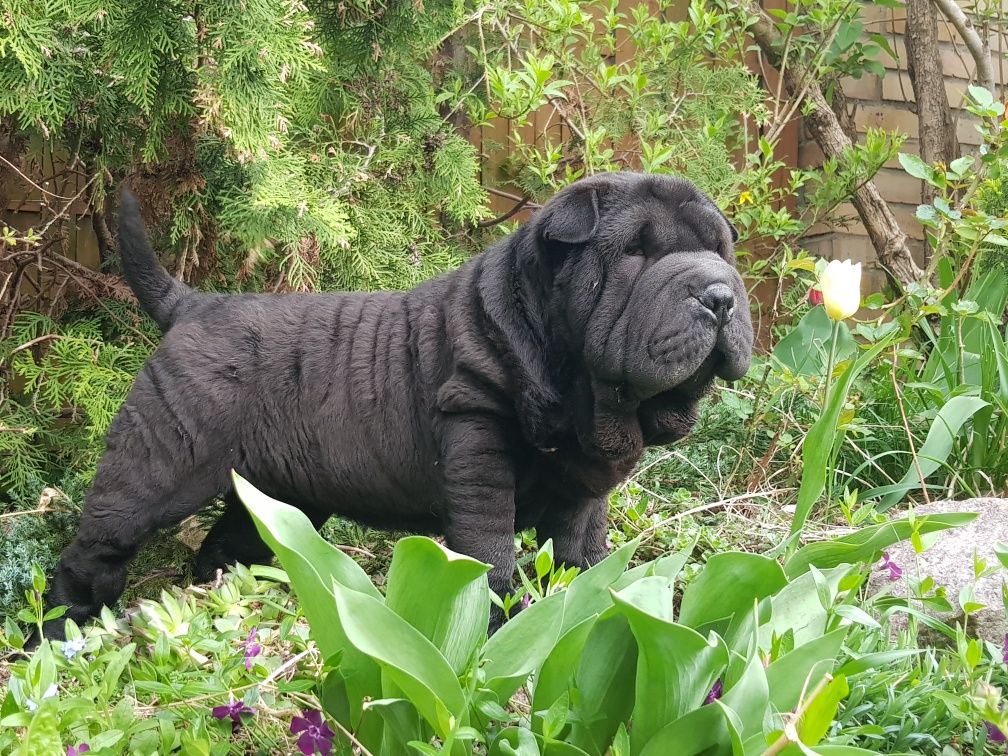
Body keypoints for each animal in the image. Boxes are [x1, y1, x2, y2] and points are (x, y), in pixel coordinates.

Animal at [43, 171, 753, 641]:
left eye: (722, 250)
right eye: (636, 254)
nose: (720, 295)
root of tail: (193, 304)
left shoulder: (583, 488)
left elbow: (584, 554)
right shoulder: (477, 440)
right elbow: (489, 553)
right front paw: (489, 633)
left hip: (276, 493)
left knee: (228, 546)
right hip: (161, 461)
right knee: (94, 550)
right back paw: (57, 639)